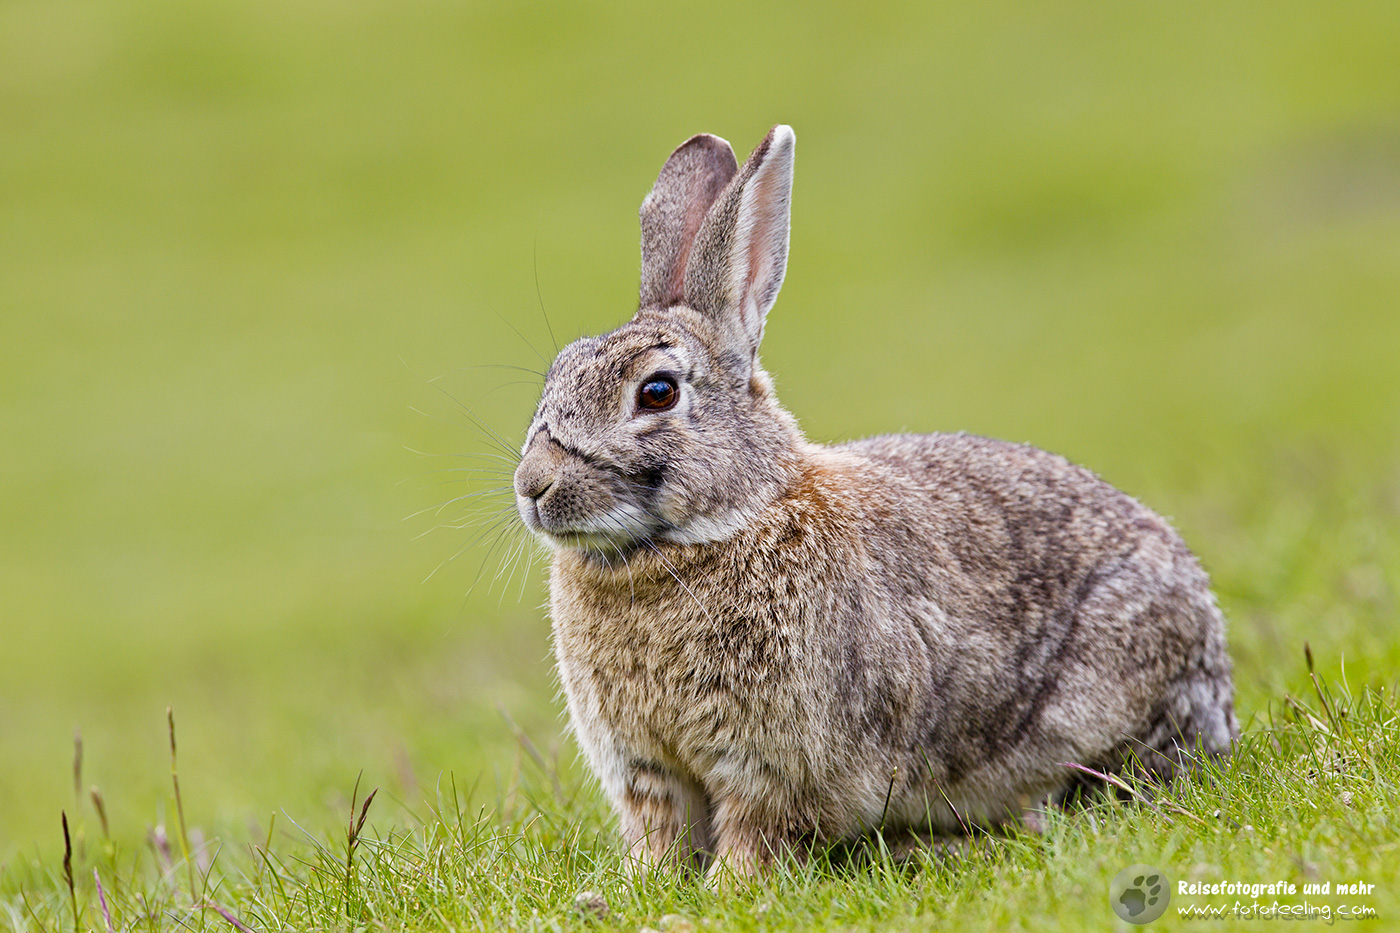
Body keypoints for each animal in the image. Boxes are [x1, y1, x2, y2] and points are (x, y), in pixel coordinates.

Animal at [512, 125, 1238, 883]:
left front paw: (731, 889)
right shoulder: (647, 770)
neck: (698, 537)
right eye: (558, 375)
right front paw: (641, 886)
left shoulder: (771, 764)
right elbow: (659, 835)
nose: (533, 484)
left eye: (657, 392)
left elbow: (755, 832)